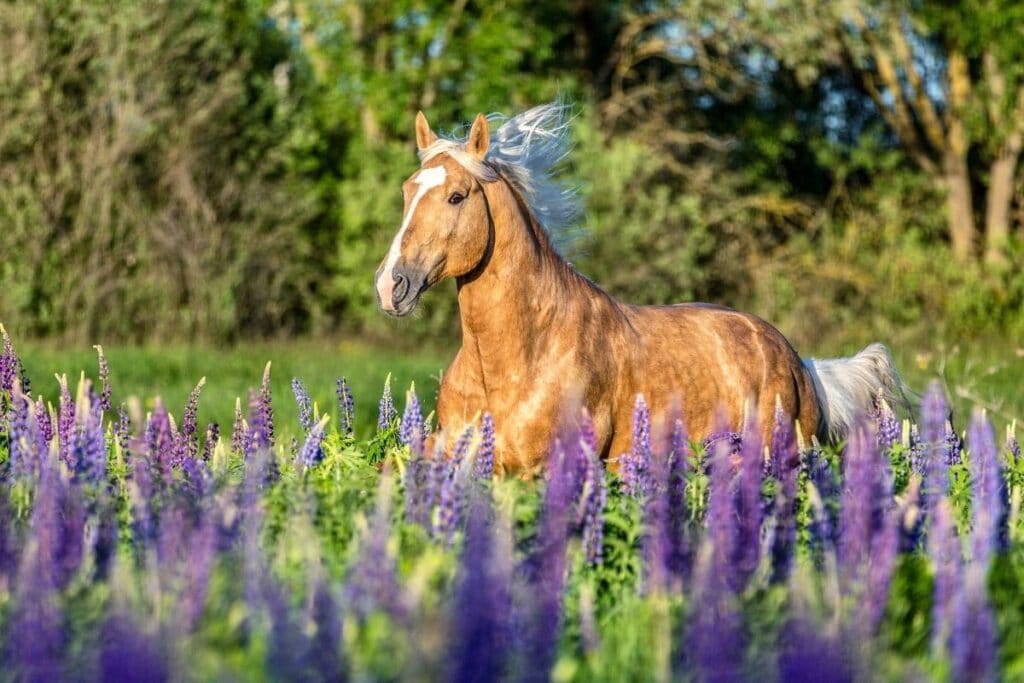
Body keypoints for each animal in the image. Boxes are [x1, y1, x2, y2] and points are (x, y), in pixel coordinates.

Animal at [374, 102, 905, 475]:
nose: (390, 285)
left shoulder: (535, 468)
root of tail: (799, 363)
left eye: (457, 196)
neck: (515, 358)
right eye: (406, 190)